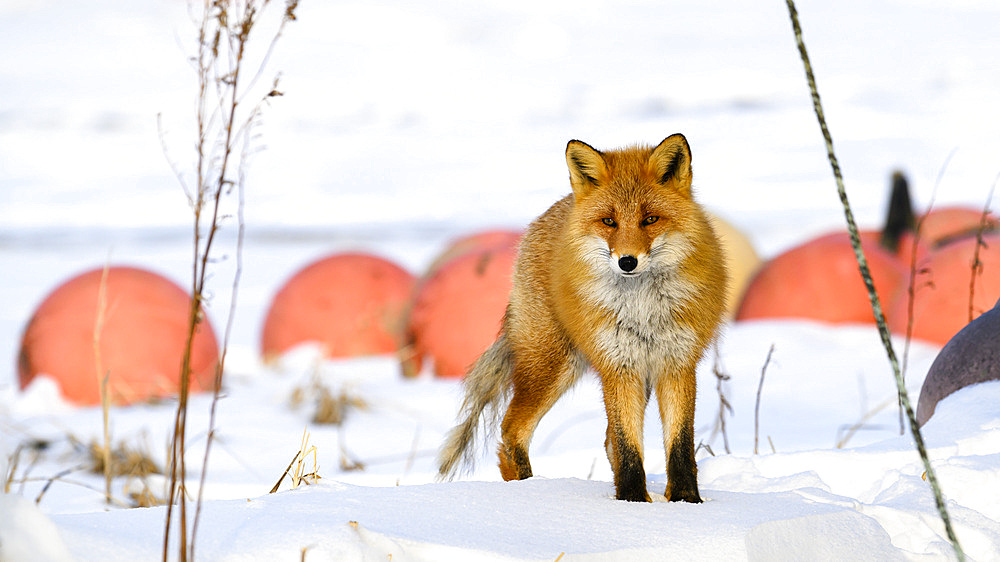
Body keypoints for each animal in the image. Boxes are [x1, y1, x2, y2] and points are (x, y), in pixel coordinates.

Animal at [438, 133, 728, 500]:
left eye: (650, 219)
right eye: (609, 221)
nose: (627, 261)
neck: (643, 308)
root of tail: (552, 211)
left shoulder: (676, 363)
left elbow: (678, 445)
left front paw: (685, 501)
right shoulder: (618, 365)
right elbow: (629, 446)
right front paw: (632, 501)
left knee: (605, 441)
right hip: (552, 364)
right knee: (511, 430)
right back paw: (526, 490)